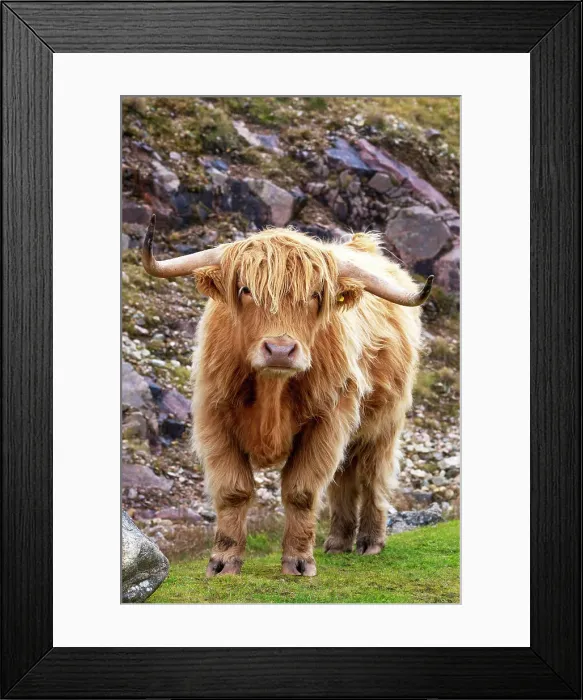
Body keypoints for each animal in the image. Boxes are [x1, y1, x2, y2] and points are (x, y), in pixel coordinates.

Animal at [142, 215, 432, 577]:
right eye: (245, 290)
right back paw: (337, 544)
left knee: (372, 477)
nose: (280, 350)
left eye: (316, 294)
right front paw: (223, 563)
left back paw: (370, 543)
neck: (272, 390)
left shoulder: (327, 422)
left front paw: (298, 563)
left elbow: (301, 491)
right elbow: (233, 490)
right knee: (344, 479)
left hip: (382, 426)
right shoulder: (215, 417)